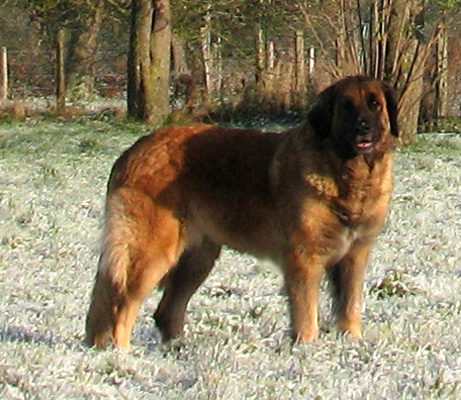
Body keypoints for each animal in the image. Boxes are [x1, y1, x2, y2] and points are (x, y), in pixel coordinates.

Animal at [84, 76, 398, 350]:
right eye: (346, 107)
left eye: (374, 104)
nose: (363, 127)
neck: (345, 172)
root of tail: (133, 150)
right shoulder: (304, 258)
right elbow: (307, 313)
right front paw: (307, 349)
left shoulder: (354, 255)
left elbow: (350, 305)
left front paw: (353, 342)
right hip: (153, 252)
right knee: (122, 304)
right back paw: (123, 355)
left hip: (197, 259)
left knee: (165, 310)